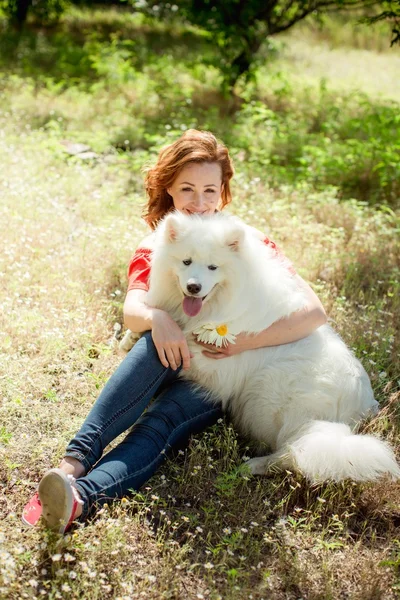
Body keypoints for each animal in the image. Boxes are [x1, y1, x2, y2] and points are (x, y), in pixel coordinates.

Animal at [123, 212, 398, 482]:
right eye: (186, 262)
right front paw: (131, 335)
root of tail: (361, 407)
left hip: (272, 392)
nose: (193, 287)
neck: (221, 303)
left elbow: (180, 343)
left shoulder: (217, 369)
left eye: (213, 267)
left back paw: (252, 466)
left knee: (292, 452)